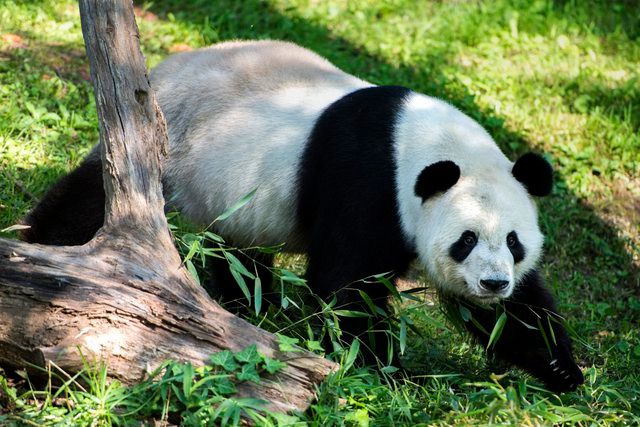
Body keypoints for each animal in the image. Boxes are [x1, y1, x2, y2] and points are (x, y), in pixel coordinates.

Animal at [22, 40, 583, 392]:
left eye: (513, 242)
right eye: (465, 239)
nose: (493, 283)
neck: (421, 143)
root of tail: (159, 68)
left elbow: (519, 314)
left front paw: (563, 370)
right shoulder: (368, 184)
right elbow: (346, 285)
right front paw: (383, 369)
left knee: (238, 254)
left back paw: (252, 305)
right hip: (166, 145)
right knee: (90, 197)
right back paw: (41, 244)